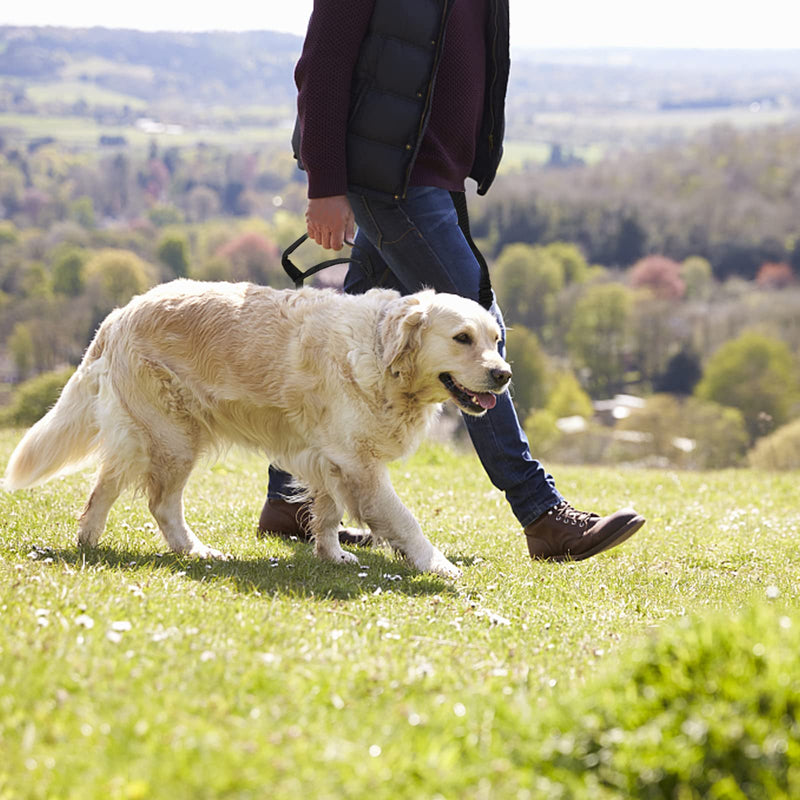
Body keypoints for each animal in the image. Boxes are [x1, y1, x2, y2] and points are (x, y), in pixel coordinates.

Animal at [3, 282, 510, 576]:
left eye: (495, 339)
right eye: (462, 338)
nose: (503, 375)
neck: (379, 351)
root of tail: (117, 315)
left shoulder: (331, 457)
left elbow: (328, 513)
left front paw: (331, 554)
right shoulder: (359, 463)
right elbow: (404, 519)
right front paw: (438, 564)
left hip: (148, 435)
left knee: (104, 489)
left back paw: (95, 543)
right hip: (173, 437)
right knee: (156, 502)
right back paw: (188, 550)